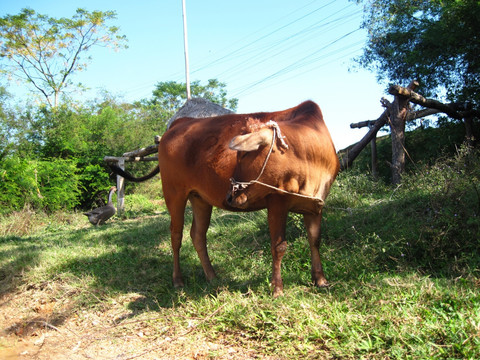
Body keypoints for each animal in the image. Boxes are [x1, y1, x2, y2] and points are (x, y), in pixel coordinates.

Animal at [110, 100, 340, 296]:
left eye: (245, 154)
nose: (231, 195)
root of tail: (178, 123)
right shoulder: (276, 201)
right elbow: (279, 246)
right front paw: (277, 289)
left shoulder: (316, 204)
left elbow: (315, 239)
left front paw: (320, 280)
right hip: (173, 193)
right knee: (176, 235)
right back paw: (178, 280)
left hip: (200, 198)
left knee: (197, 235)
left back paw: (212, 276)